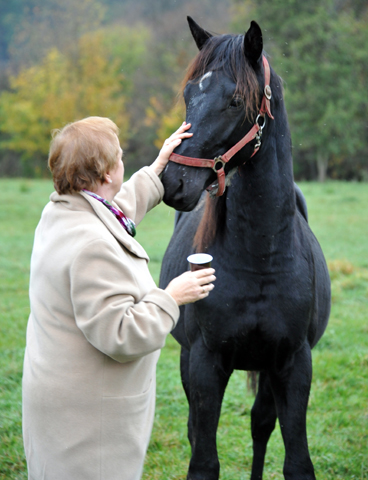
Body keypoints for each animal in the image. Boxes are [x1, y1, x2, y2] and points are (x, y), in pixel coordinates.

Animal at [159, 16, 330, 480]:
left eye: (236, 100)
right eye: (188, 93)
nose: (173, 182)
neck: (262, 256)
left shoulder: (293, 364)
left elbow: (295, 460)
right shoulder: (204, 362)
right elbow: (203, 459)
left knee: (260, 424)